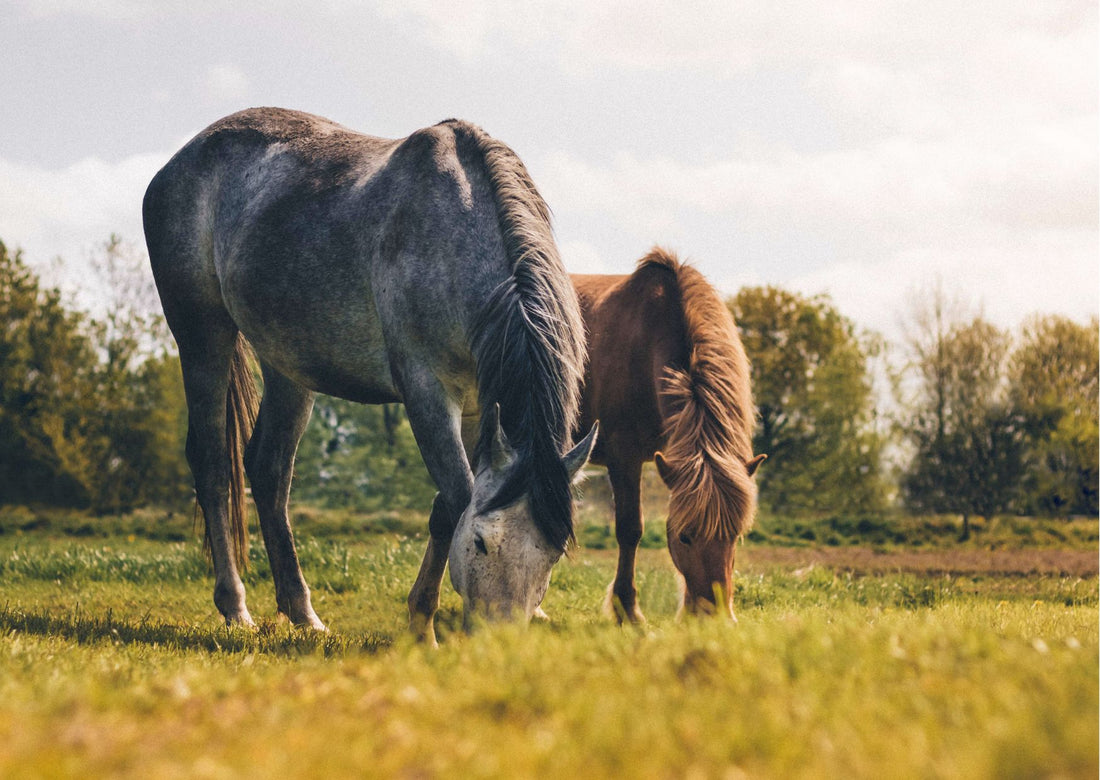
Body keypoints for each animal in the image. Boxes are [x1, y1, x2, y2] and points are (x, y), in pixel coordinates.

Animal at [145, 106, 598, 638]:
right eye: (482, 543)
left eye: (552, 554)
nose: (498, 641)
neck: (456, 235)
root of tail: (179, 162)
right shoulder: (426, 393)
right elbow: (457, 498)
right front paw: (423, 626)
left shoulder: (477, 407)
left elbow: (446, 506)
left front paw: (419, 618)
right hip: (202, 336)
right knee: (215, 463)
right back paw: (235, 607)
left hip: (287, 366)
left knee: (269, 470)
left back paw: (302, 613)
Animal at [576, 249, 765, 620]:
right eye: (684, 537)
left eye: (735, 536)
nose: (714, 616)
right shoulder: (624, 457)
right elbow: (630, 530)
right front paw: (627, 610)